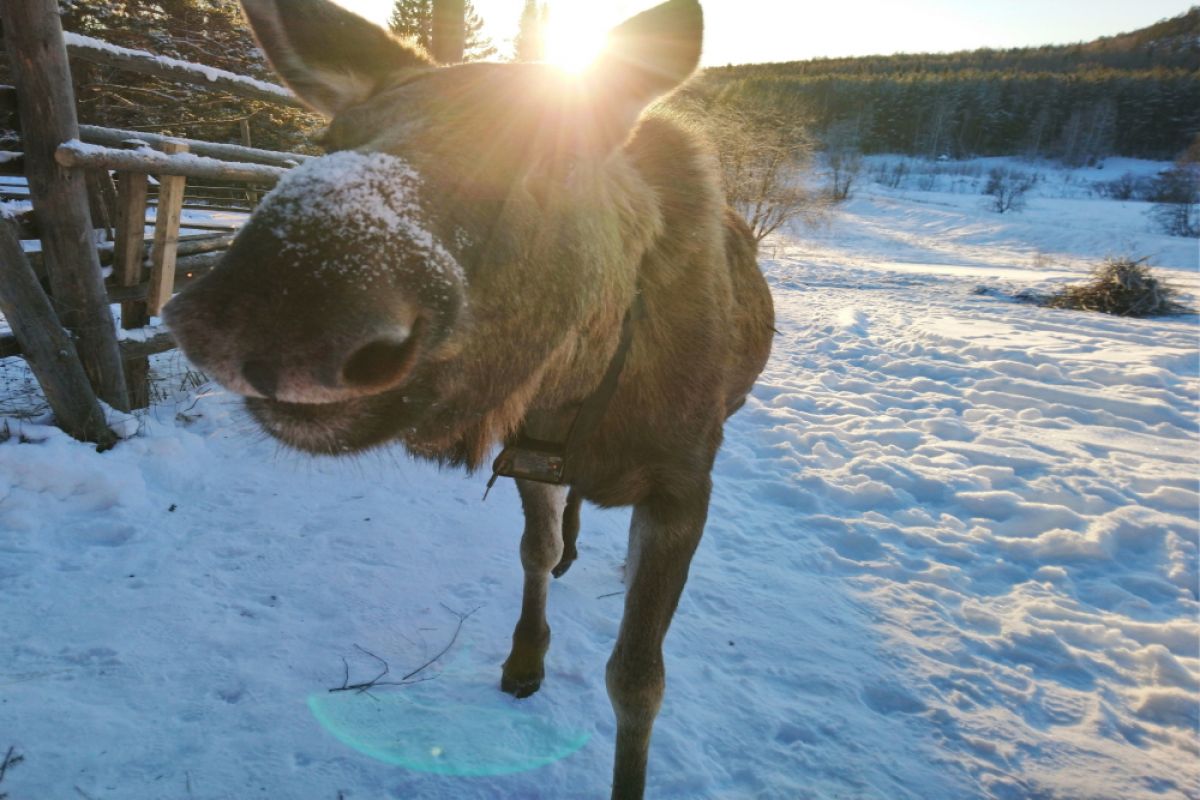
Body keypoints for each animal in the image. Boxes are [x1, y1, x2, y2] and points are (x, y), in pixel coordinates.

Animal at [164, 3, 772, 796]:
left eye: (545, 161)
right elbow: (536, 552)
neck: (586, 391)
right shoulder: (530, 454)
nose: (267, 317)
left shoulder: (685, 481)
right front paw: (524, 658)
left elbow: (639, 680)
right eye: (329, 142)